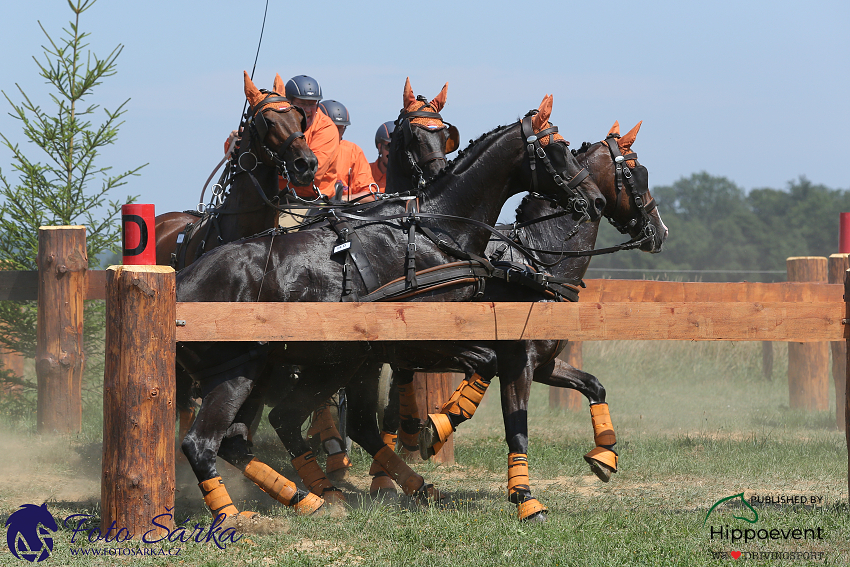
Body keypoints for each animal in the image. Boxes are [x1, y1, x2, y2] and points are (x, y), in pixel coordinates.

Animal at [174, 95, 604, 520]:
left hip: (305, 367)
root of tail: (182, 280)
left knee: (248, 435)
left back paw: (312, 497)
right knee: (203, 441)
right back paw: (238, 516)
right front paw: (438, 429)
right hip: (241, 374)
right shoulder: (422, 343)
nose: (595, 199)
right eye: (558, 148)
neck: (435, 230)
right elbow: (486, 366)